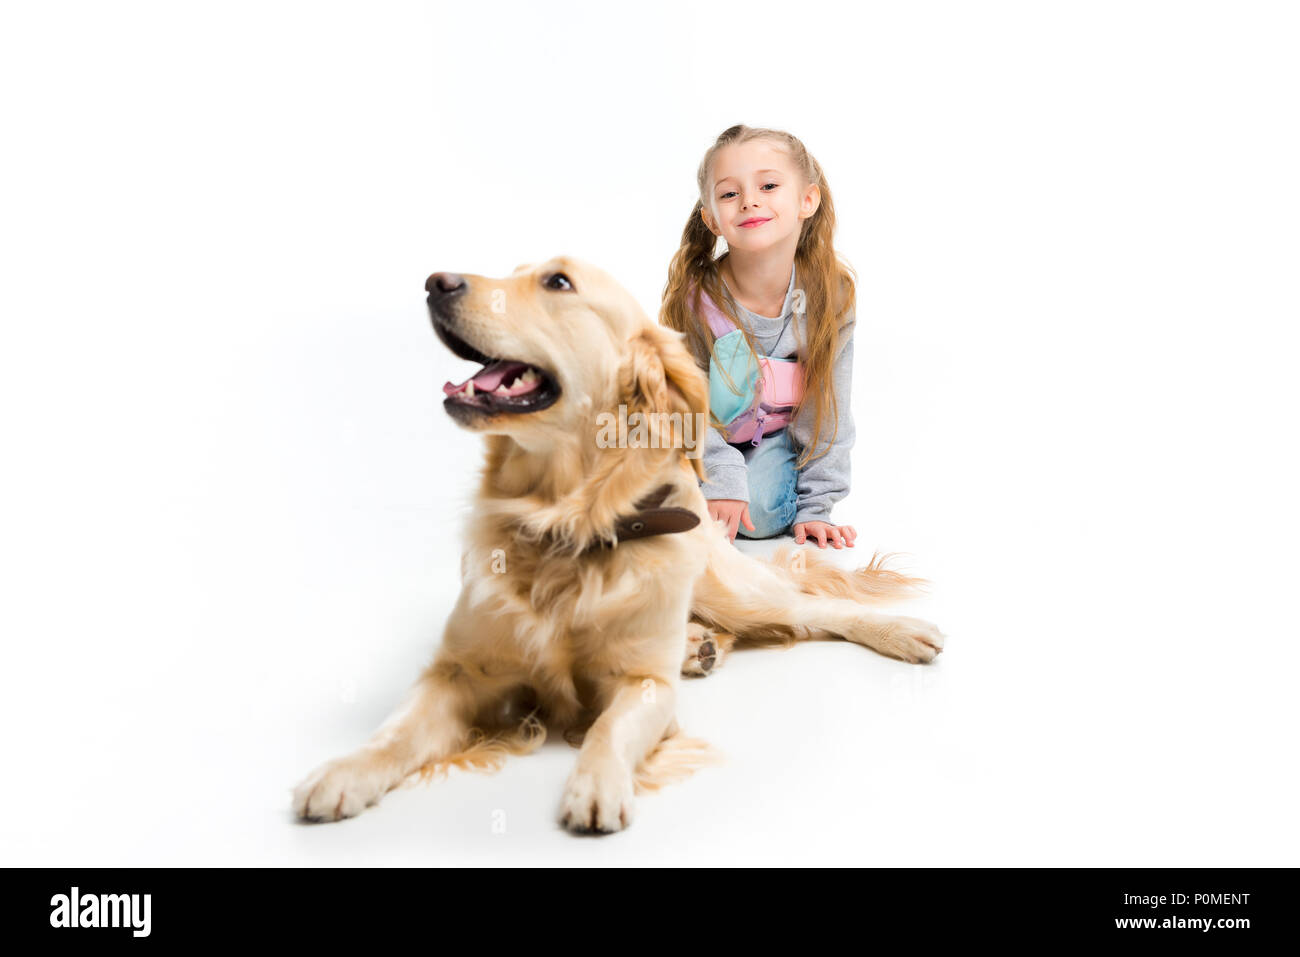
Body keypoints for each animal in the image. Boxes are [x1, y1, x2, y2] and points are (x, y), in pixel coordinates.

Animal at [292, 257, 946, 832]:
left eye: (557, 281)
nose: (435, 282)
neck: (565, 519)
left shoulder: (645, 687)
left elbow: (611, 727)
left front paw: (596, 784)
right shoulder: (457, 670)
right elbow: (396, 729)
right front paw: (343, 772)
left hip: (739, 593)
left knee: (815, 608)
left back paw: (901, 632)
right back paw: (699, 645)